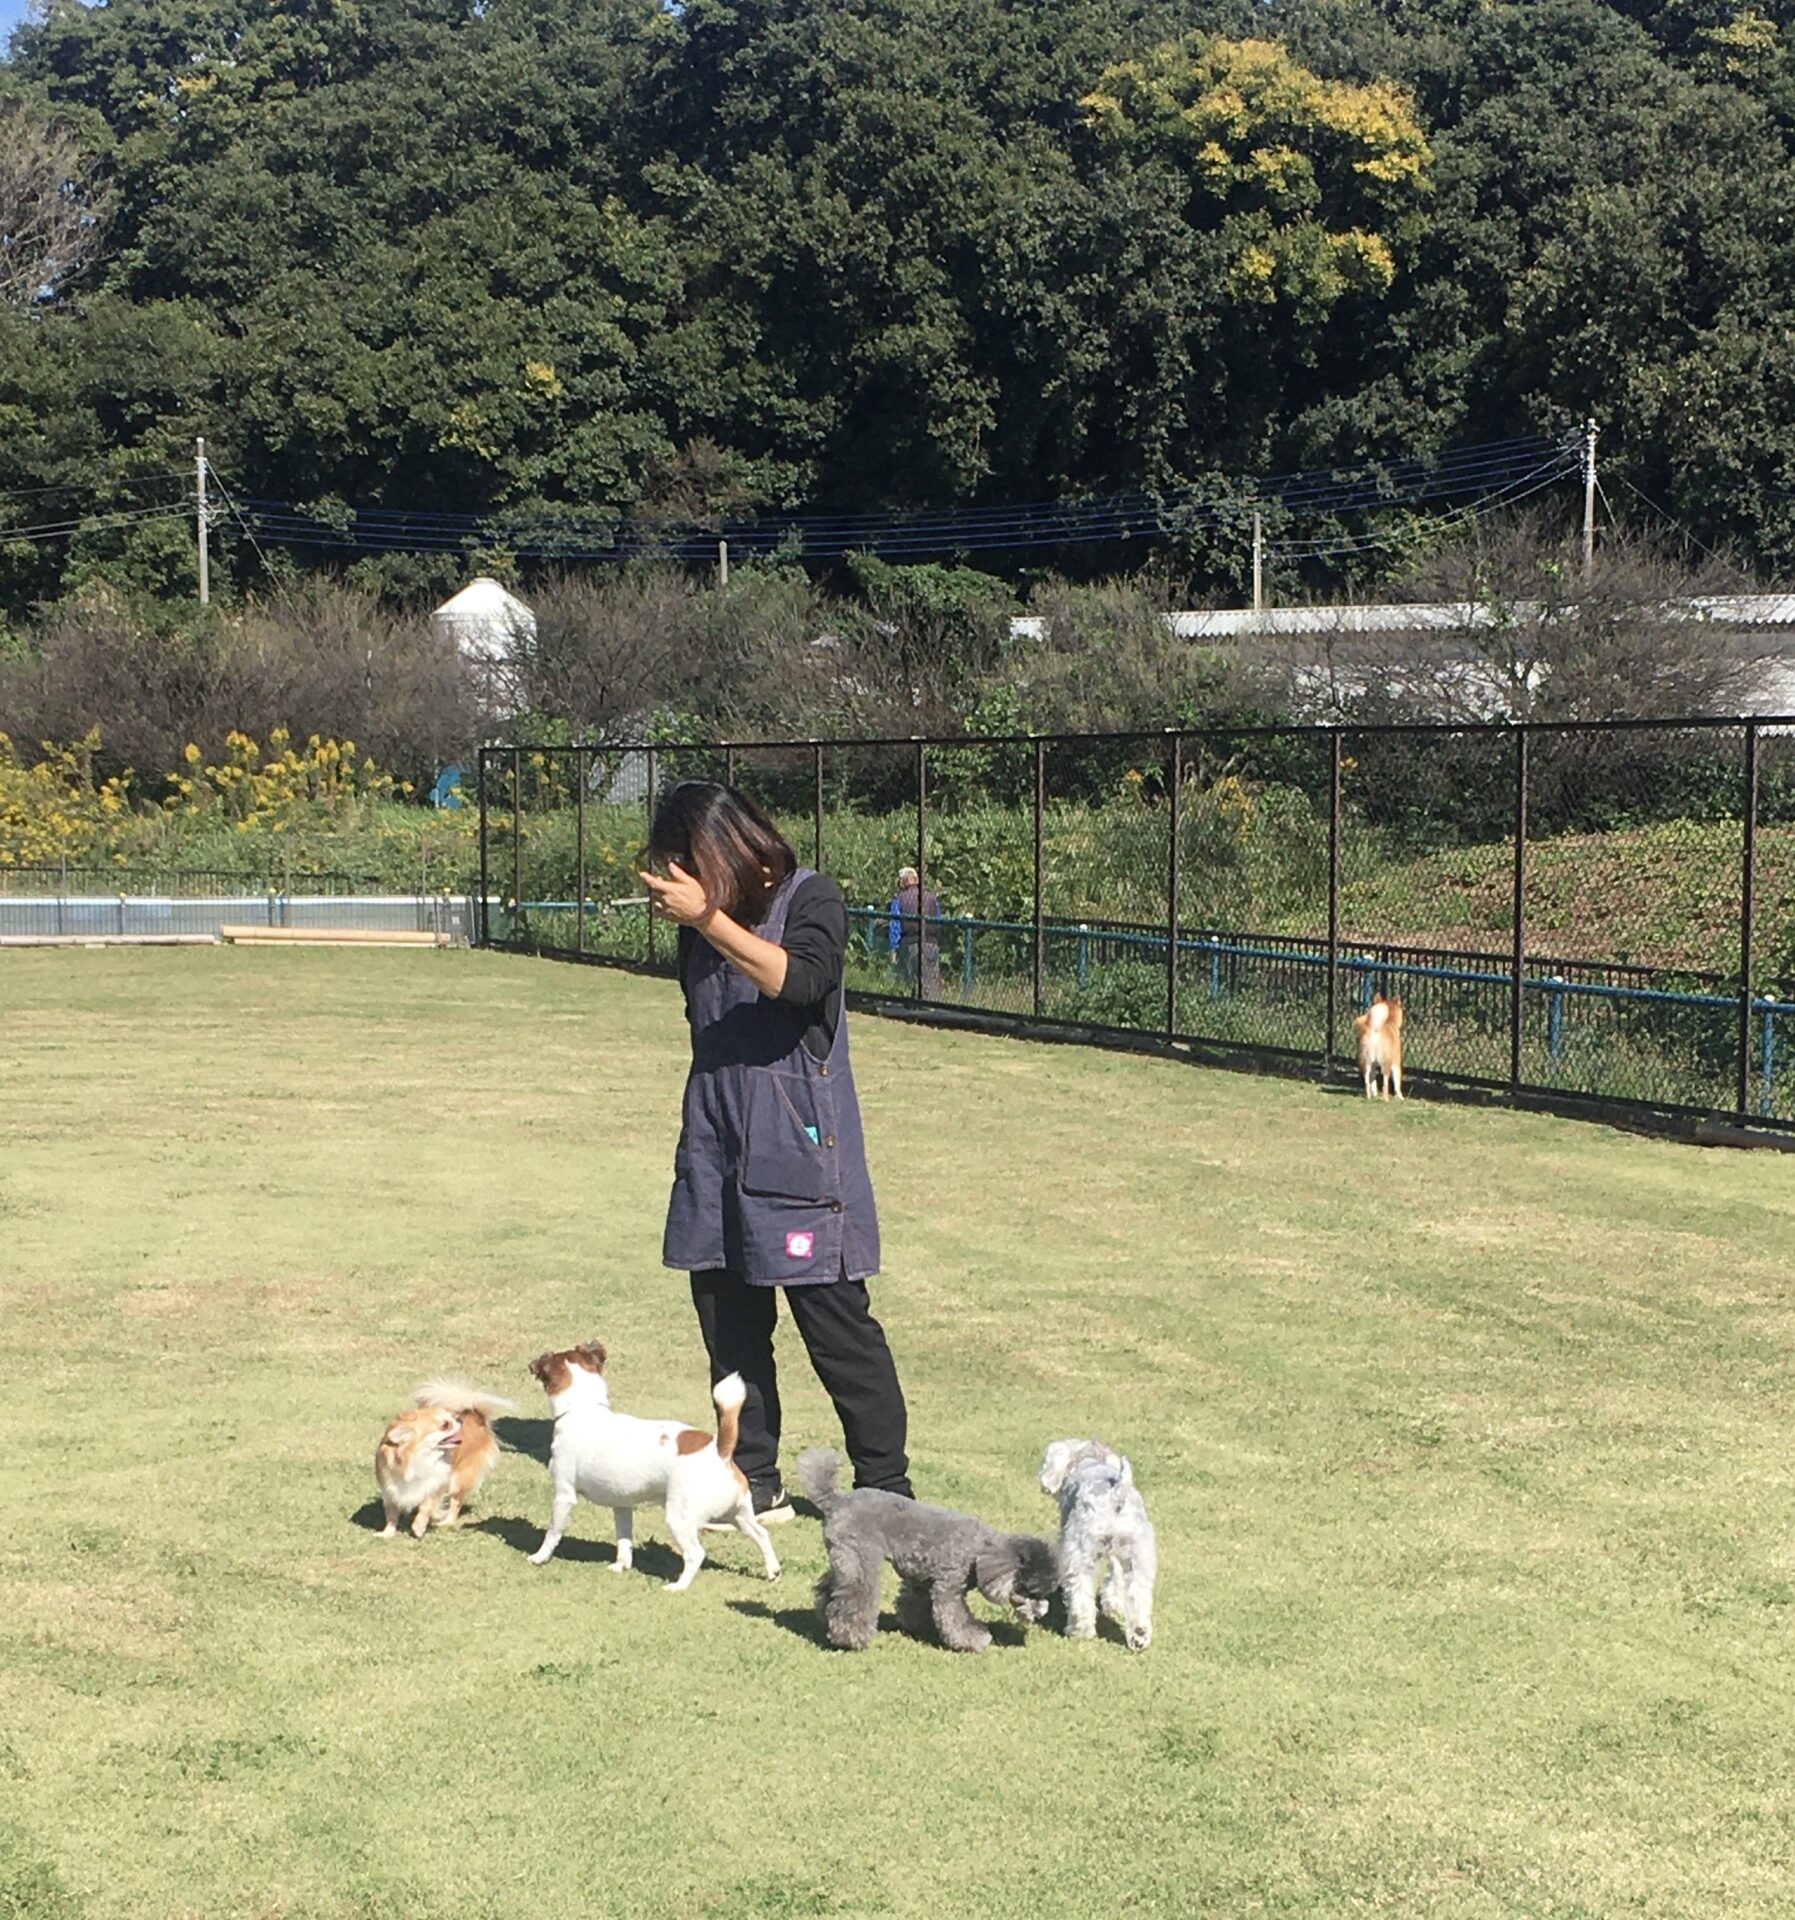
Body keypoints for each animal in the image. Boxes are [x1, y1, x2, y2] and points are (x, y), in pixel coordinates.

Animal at [374, 1381, 514, 1539]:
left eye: (452, 1418)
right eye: (445, 1425)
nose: (459, 1419)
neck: (420, 1458)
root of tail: (475, 1415)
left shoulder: (436, 1484)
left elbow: (426, 1507)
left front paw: (418, 1527)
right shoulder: (390, 1487)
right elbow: (391, 1514)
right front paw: (387, 1533)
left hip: (459, 1479)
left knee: (455, 1502)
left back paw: (446, 1521)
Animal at [525, 1341, 779, 1591]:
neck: (583, 1409)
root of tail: (720, 1452)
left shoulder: (564, 1495)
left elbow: (553, 1532)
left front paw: (539, 1557)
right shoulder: (623, 1505)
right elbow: (624, 1538)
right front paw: (621, 1565)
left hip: (680, 1517)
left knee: (696, 1554)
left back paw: (678, 1586)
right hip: (738, 1515)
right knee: (761, 1534)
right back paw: (773, 1571)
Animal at [797, 1448, 1059, 1653]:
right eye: (1031, 1592)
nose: (1040, 1614)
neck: (980, 1552)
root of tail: (836, 1501)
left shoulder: (923, 1580)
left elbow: (914, 1603)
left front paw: (916, 1625)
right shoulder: (949, 1586)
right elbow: (956, 1618)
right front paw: (976, 1640)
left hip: (845, 1558)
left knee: (829, 1589)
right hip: (861, 1557)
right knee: (854, 1599)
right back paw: (850, 1638)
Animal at [1039, 1439, 1157, 1651]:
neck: (1090, 1461)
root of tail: (1116, 1496)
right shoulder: (1118, 1555)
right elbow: (1115, 1577)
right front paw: (1113, 1604)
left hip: (1079, 1555)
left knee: (1081, 1596)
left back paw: (1078, 1631)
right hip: (1140, 1557)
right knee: (1139, 1598)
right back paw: (1139, 1636)